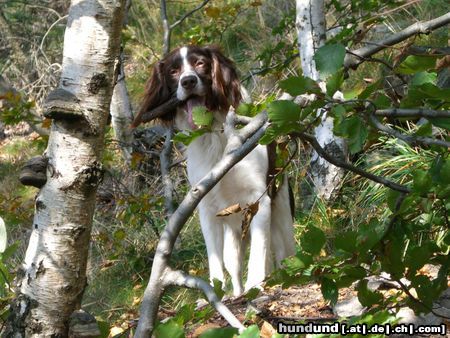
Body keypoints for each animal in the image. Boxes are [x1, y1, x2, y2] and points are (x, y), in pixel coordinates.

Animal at [139, 45, 298, 296]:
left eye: (201, 63)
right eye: (174, 71)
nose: (188, 81)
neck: (219, 138)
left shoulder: (259, 200)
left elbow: (258, 254)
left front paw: (255, 284)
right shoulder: (206, 206)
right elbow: (215, 261)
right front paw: (217, 293)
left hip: (280, 215)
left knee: (282, 252)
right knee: (233, 264)